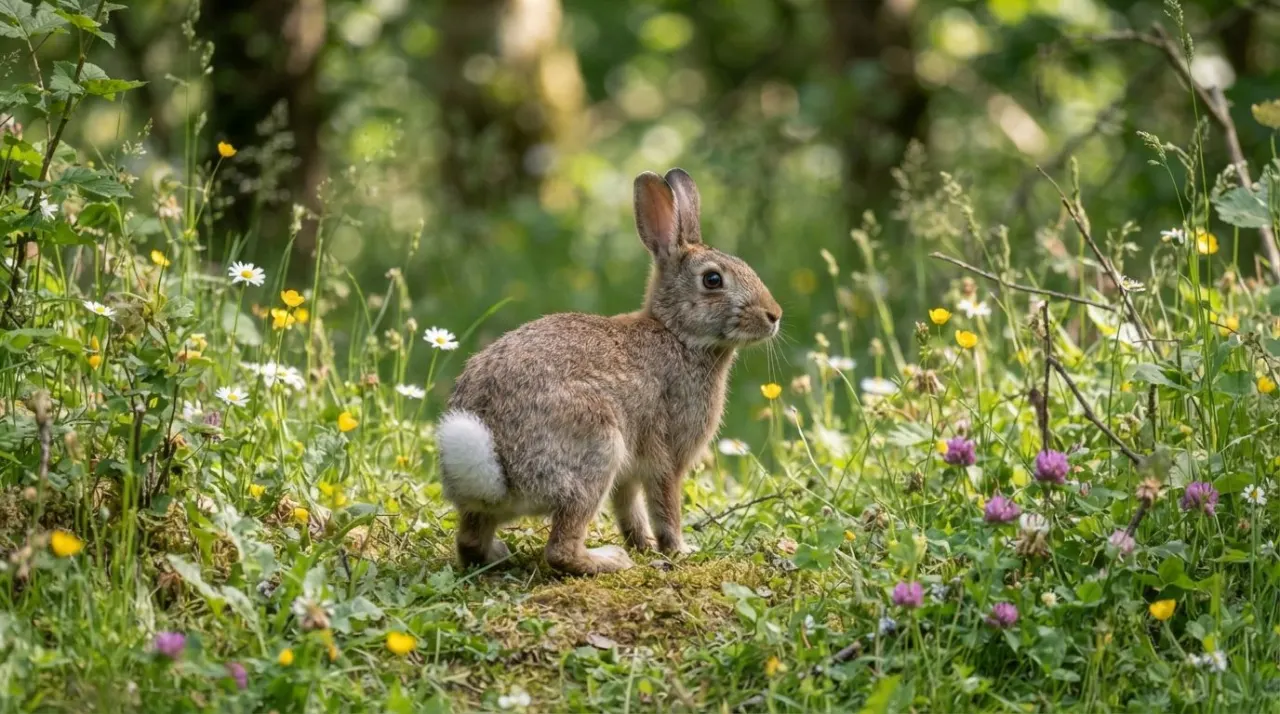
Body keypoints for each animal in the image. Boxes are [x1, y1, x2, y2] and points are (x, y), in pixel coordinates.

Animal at [435, 168, 781, 575]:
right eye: (713, 280)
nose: (774, 315)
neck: (677, 333)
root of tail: (498, 472)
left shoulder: (629, 474)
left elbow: (629, 510)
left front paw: (643, 545)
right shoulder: (667, 459)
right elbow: (665, 508)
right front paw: (679, 551)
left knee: (470, 541)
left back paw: (498, 555)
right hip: (597, 448)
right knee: (561, 548)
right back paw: (610, 561)